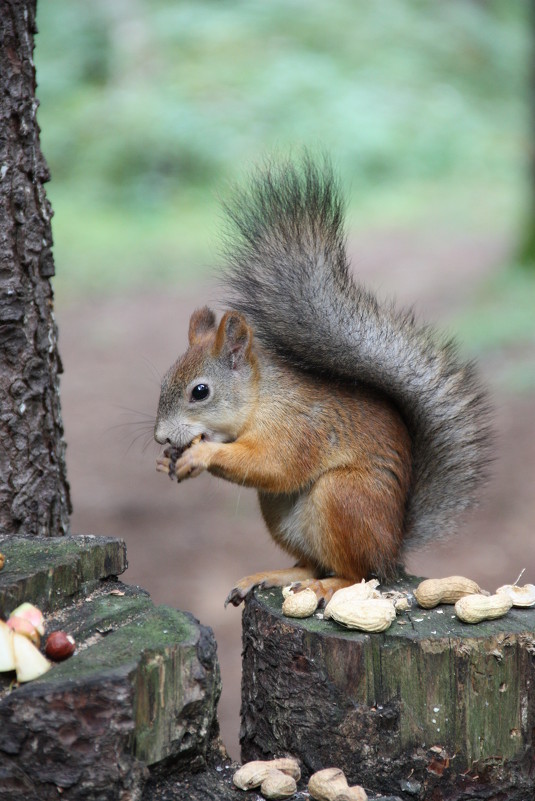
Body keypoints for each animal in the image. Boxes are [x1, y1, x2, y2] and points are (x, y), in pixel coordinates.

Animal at [153, 156, 492, 608]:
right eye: (164, 382)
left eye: (200, 392)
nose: (159, 437)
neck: (262, 398)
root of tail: (392, 548)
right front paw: (169, 461)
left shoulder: (298, 429)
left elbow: (273, 465)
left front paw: (201, 455)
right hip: (279, 513)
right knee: (312, 563)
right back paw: (273, 575)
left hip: (343, 497)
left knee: (356, 573)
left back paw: (328, 586)